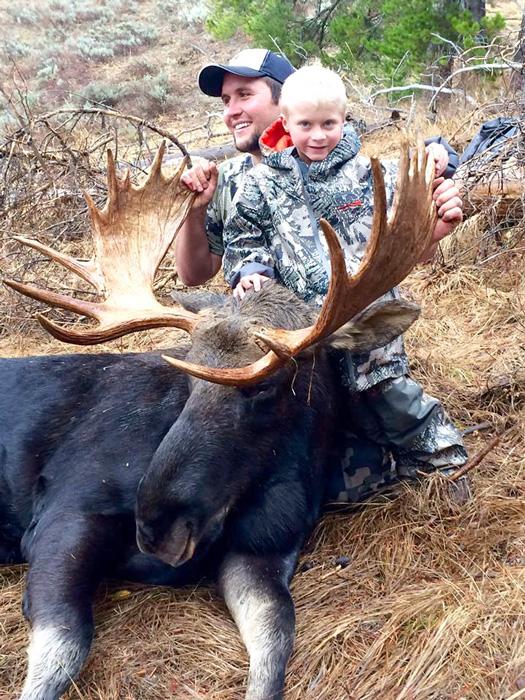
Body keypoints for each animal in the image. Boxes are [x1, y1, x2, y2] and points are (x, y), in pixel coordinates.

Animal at [0, 143, 437, 700]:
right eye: (188, 370)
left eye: (266, 384)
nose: (156, 526)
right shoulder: (65, 509)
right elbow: (62, 649)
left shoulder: (262, 549)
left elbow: (276, 637)